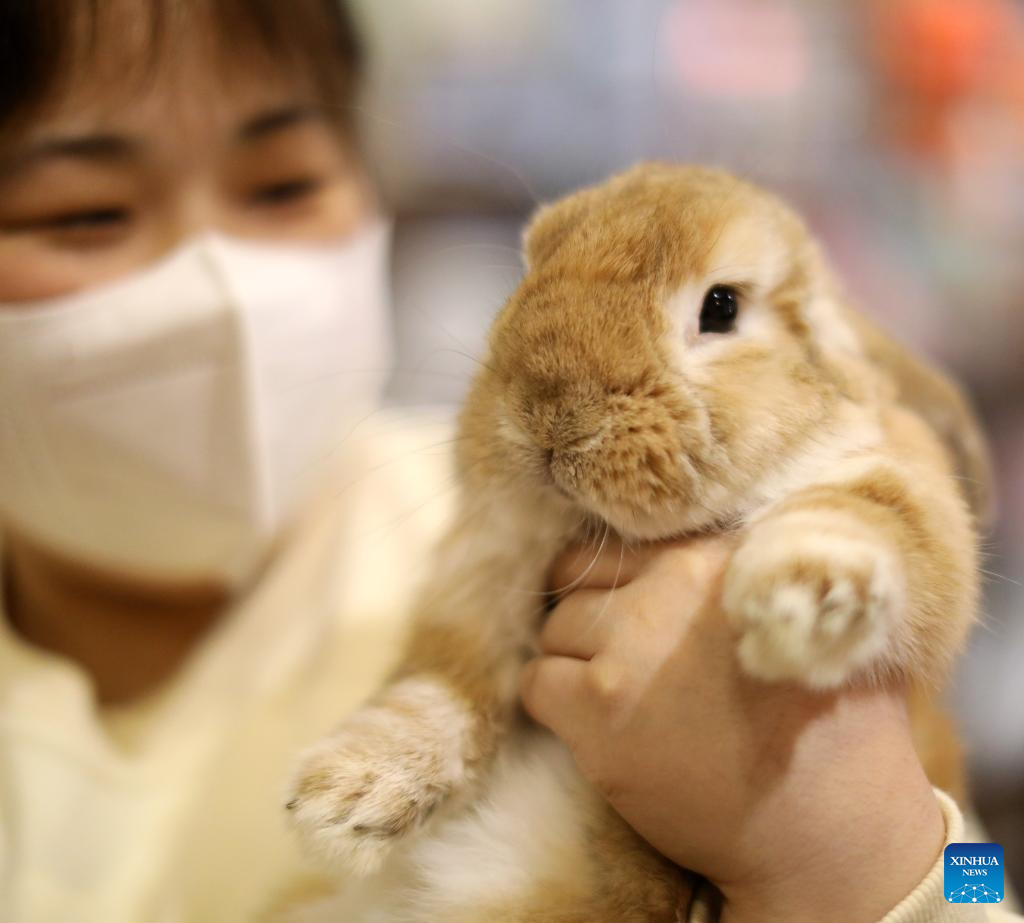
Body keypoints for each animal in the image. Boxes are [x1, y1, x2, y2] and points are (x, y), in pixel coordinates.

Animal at [282, 163, 992, 922]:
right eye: (532, 267)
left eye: (721, 307)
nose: (550, 414)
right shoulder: (484, 578)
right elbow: (442, 681)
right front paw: (340, 799)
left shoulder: (907, 493)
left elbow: (862, 515)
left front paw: (800, 606)